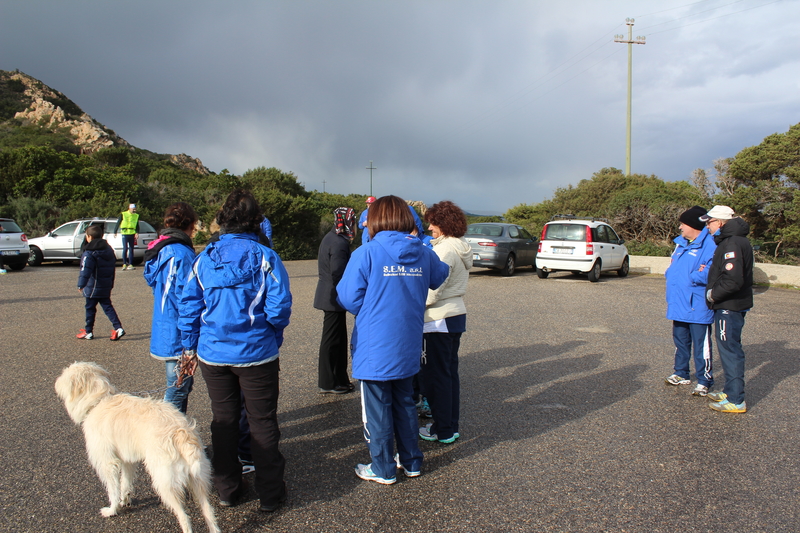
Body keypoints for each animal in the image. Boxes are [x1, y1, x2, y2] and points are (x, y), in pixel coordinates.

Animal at [55, 362, 220, 532]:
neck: (99, 400)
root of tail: (181, 435)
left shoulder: (107, 462)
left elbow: (113, 489)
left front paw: (112, 510)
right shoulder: (127, 459)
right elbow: (125, 482)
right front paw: (125, 500)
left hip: (166, 484)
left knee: (184, 517)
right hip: (199, 480)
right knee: (209, 512)